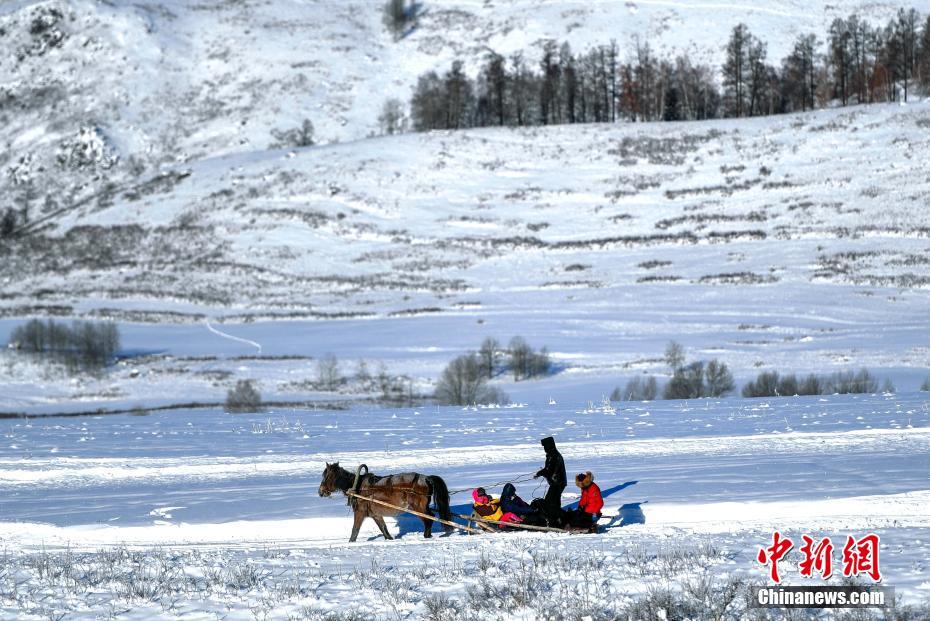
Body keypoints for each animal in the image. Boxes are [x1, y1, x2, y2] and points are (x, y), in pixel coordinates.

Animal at [318, 460, 454, 544]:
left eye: (326, 477)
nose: (320, 491)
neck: (357, 486)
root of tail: (426, 478)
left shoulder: (360, 512)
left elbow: (355, 530)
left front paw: (350, 542)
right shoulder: (376, 514)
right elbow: (383, 528)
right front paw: (389, 539)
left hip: (418, 507)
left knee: (429, 518)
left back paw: (426, 536)